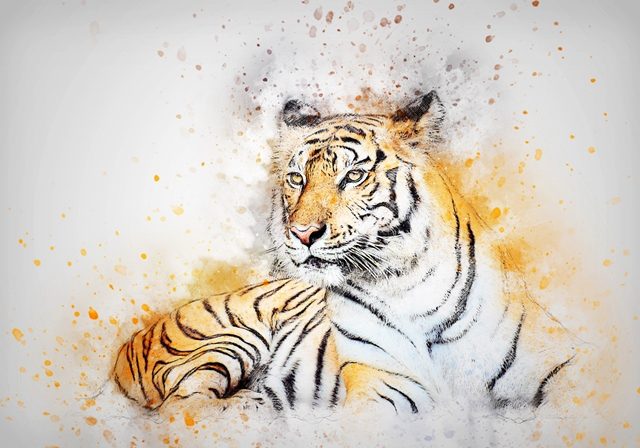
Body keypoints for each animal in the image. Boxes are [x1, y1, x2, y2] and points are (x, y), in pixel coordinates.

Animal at [113, 91, 576, 415]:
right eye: (296, 179)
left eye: (353, 176)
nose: (302, 234)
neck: (408, 283)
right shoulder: (383, 386)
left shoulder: (557, 363)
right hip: (226, 341)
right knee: (184, 409)